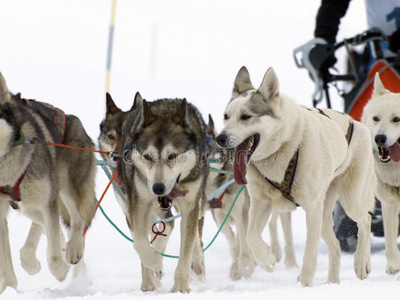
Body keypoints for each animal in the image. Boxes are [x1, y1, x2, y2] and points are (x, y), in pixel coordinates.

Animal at [0, 71, 96, 292]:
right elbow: (7, 269)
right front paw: (9, 289)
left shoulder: (48, 200)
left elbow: (55, 259)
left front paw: (60, 271)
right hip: (31, 202)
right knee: (45, 225)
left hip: (63, 184)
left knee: (77, 219)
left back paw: (73, 251)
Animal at [117, 96, 208, 292]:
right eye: (148, 157)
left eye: (172, 156)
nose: (157, 188)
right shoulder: (139, 202)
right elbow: (139, 241)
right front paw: (154, 261)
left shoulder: (190, 205)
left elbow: (186, 248)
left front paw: (180, 287)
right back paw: (148, 282)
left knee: (193, 237)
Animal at [206, 113, 296, 280]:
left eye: (208, 151)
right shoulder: (219, 214)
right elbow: (228, 234)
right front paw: (237, 261)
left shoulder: (242, 211)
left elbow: (243, 237)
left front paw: (244, 265)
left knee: (283, 230)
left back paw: (289, 261)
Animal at [216, 67, 376, 288]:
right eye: (226, 116)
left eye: (246, 116)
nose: (220, 138)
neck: (282, 149)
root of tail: (358, 123)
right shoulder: (261, 204)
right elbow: (250, 235)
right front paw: (266, 259)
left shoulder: (311, 207)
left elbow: (310, 253)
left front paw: (305, 284)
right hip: (325, 215)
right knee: (335, 246)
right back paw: (332, 283)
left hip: (349, 199)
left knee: (365, 219)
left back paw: (361, 263)